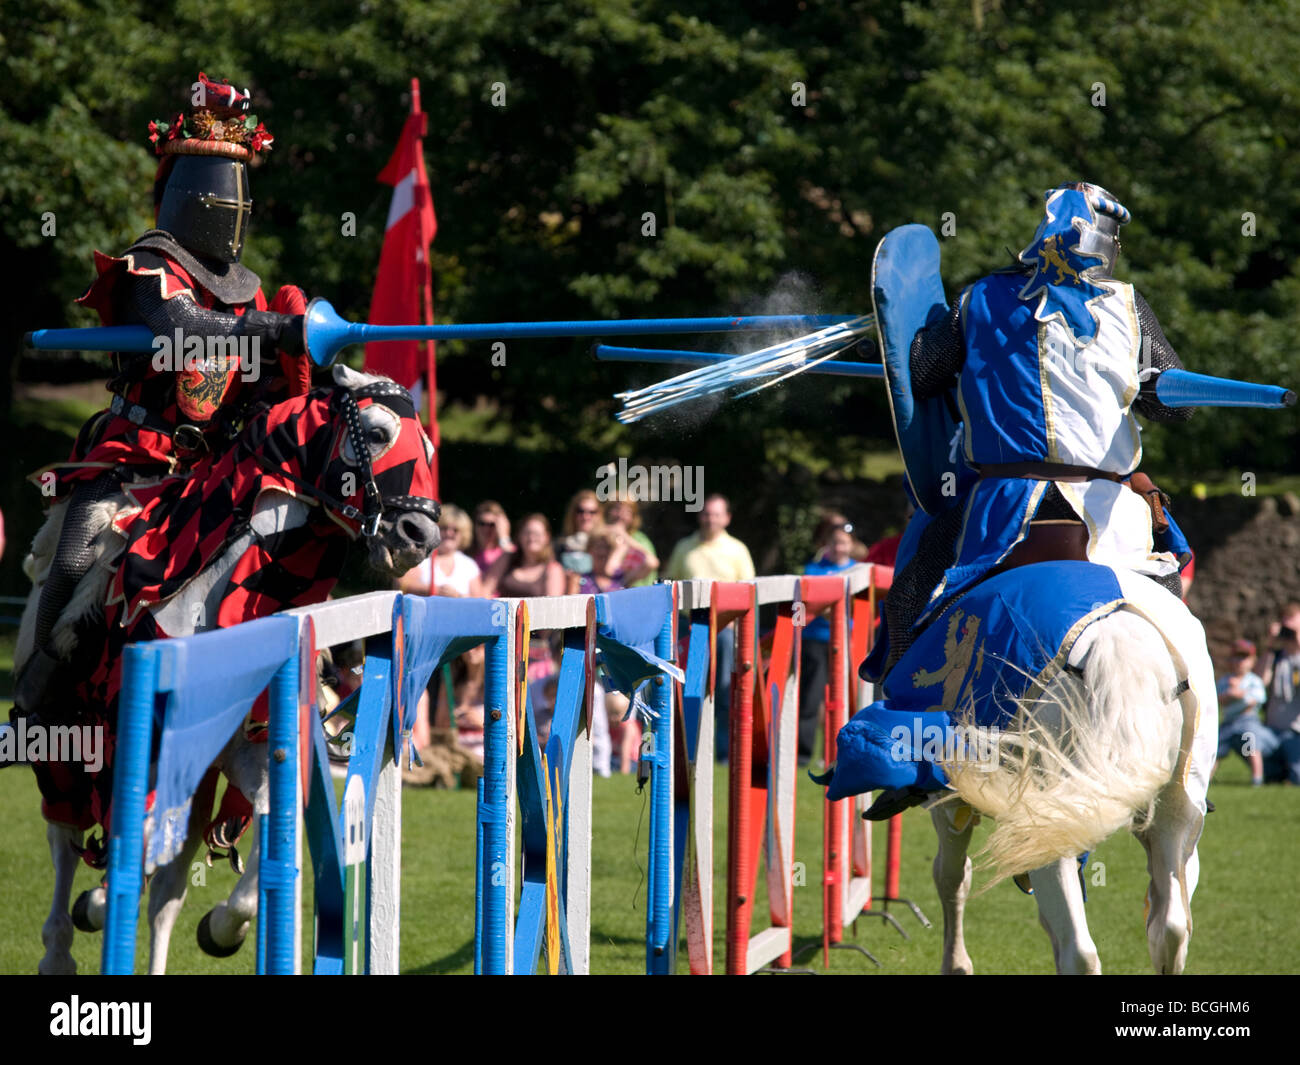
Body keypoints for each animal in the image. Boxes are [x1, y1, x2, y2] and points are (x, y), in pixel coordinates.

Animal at [920, 566, 1211, 972]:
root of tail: (1115, 645)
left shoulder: (951, 800)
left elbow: (951, 877)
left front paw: (956, 963)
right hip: (1175, 808)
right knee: (1170, 930)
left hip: (1044, 814)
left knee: (1080, 950)